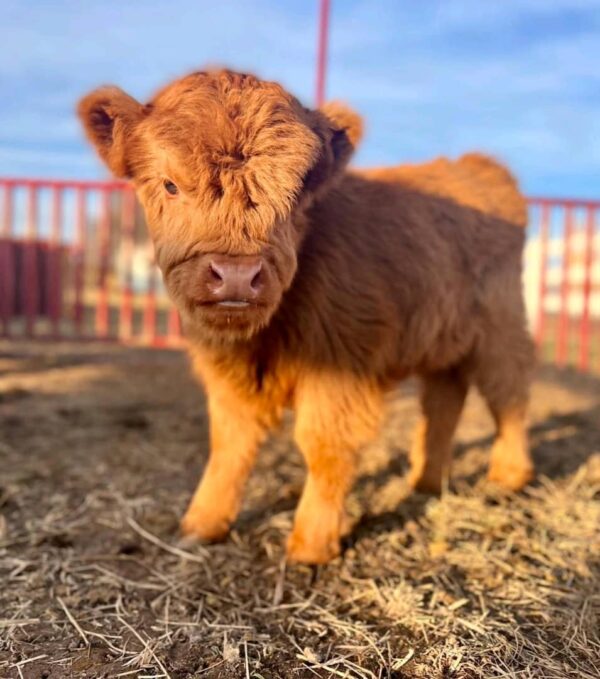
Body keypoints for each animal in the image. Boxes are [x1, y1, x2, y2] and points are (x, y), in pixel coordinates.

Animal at [78, 70, 536, 564]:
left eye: (295, 192)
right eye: (169, 185)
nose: (236, 275)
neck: (263, 337)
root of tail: (478, 167)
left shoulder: (343, 365)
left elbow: (324, 445)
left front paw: (311, 544)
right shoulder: (228, 376)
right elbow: (229, 444)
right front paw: (202, 524)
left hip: (501, 327)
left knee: (508, 394)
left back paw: (508, 476)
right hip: (444, 336)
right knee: (444, 401)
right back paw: (427, 482)